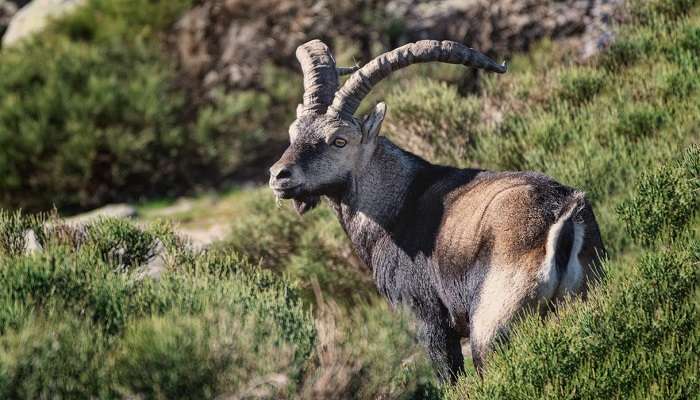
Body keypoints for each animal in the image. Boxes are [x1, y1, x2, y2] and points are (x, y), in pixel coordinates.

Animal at [268, 39, 600, 382]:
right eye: (294, 132)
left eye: (339, 140)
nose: (279, 175)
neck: (396, 204)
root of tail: (563, 217)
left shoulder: (429, 320)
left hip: (493, 325)